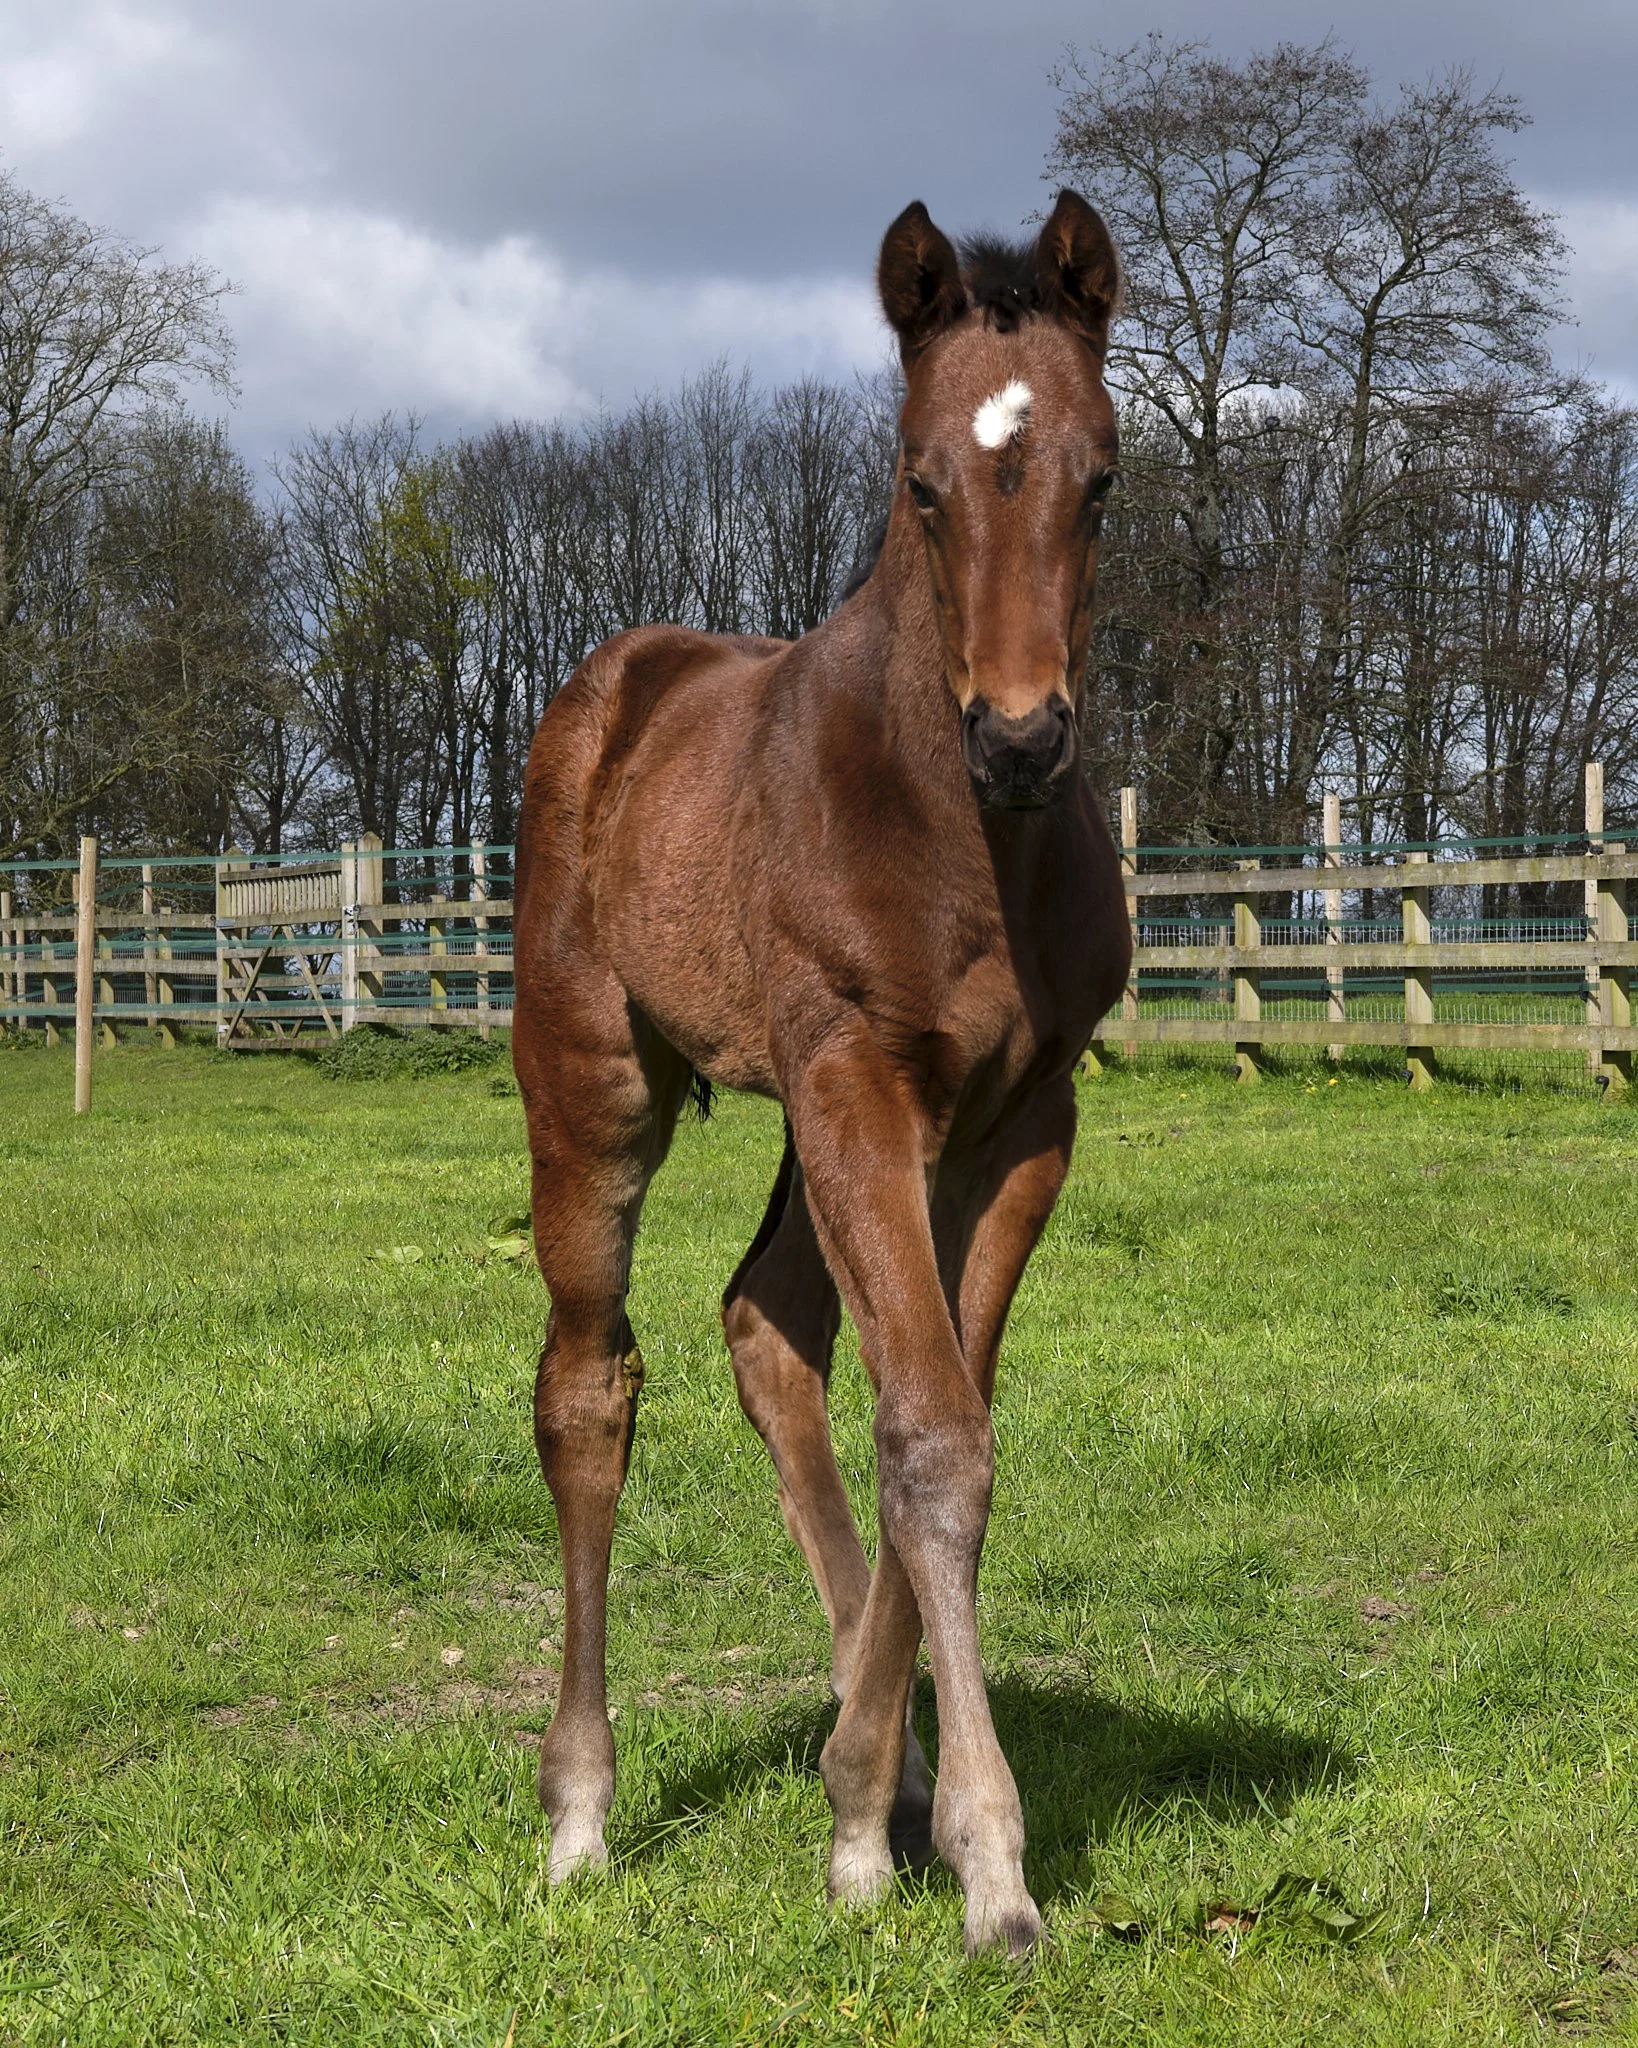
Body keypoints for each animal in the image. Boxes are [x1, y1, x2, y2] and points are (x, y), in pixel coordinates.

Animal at [511, 189, 1130, 1956]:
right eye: (919, 481)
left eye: (1101, 477)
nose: (1020, 738)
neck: (958, 833)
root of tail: (608, 684)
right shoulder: (859, 1077)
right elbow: (927, 1435)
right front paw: (991, 1870)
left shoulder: (1017, 1123)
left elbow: (945, 1426)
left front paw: (869, 1811)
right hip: (594, 1083)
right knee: (588, 1386)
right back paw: (580, 1812)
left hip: (805, 1122)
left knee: (763, 1324)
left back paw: (876, 1778)